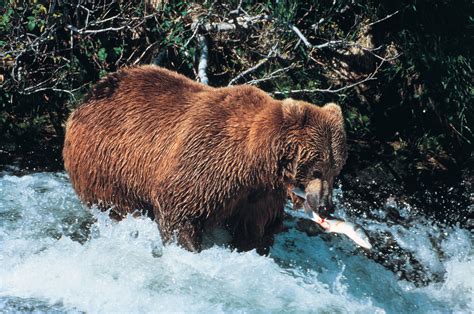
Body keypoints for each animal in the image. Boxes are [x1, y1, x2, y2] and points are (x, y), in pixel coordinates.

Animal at [63, 65, 346, 254]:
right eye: (317, 169)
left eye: (336, 170)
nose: (326, 206)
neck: (257, 161)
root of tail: (86, 97)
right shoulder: (210, 159)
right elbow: (180, 207)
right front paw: (189, 247)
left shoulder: (259, 193)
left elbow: (255, 226)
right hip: (108, 164)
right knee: (116, 206)